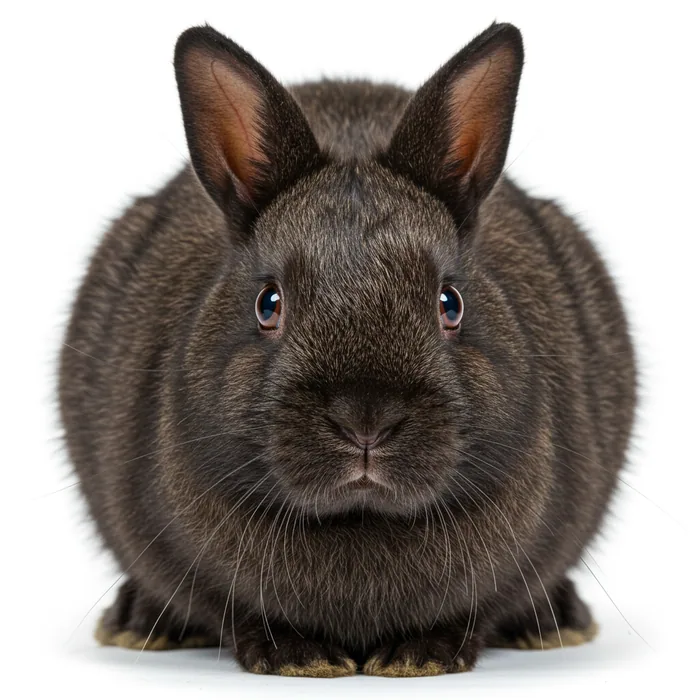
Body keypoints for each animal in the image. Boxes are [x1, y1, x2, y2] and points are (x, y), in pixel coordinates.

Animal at [58, 22, 636, 677]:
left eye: (450, 302)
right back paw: (137, 622)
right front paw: (298, 655)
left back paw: (557, 621)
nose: (366, 418)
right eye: (269, 303)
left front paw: (419, 655)